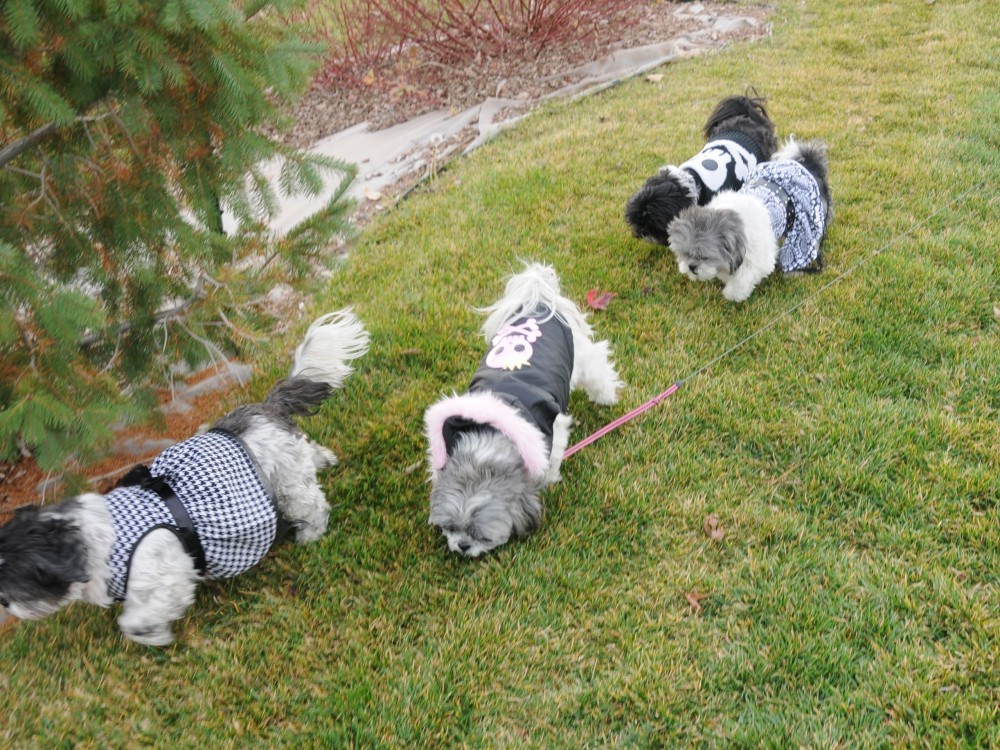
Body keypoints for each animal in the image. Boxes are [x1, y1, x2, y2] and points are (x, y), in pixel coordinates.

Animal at [0, 312, 370, 648]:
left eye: (18, 580)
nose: (3, 601)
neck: (103, 540)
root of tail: (265, 409)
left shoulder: (167, 572)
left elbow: (137, 619)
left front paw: (154, 635)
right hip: (291, 461)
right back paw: (324, 459)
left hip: (288, 486)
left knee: (312, 506)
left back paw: (310, 534)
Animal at [424, 264, 624, 560]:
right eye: (450, 528)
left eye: (480, 535)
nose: (462, 545)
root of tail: (538, 300)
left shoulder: (550, 428)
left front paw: (548, 480)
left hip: (581, 356)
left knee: (597, 368)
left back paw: (606, 396)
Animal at [668, 138, 832, 302]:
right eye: (684, 253)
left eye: (704, 257)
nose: (691, 267)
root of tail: (808, 164)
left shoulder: (758, 259)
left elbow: (742, 280)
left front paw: (732, 294)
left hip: (805, 227)